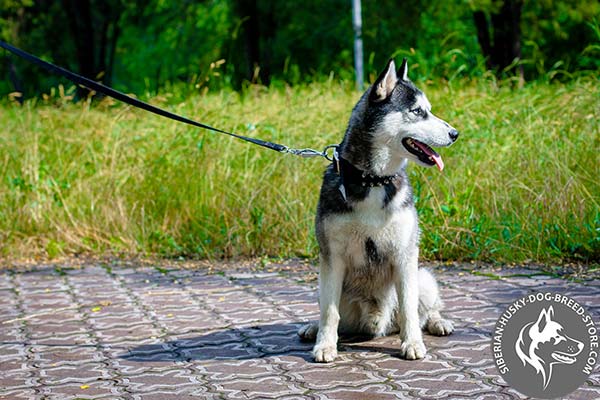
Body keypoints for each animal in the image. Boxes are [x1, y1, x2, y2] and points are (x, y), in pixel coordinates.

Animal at [298, 59, 458, 362]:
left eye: (429, 109)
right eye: (418, 111)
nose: (455, 133)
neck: (373, 180)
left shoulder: (405, 257)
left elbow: (408, 308)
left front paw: (412, 343)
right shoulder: (332, 258)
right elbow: (329, 313)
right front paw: (325, 344)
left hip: (423, 277)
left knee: (424, 310)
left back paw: (438, 322)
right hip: (323, 283)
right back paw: (312, 328)